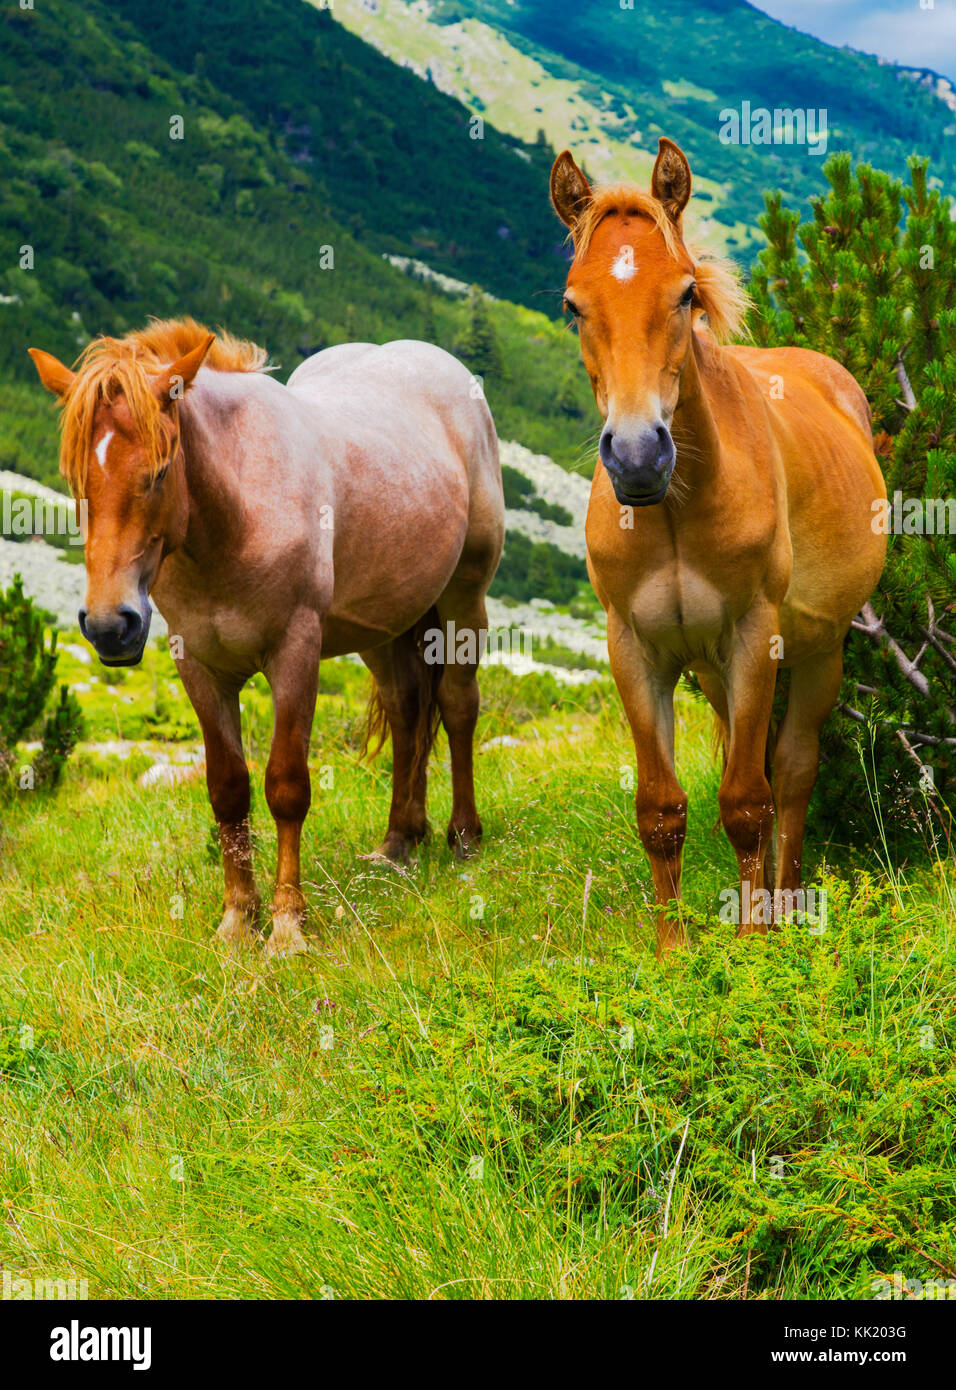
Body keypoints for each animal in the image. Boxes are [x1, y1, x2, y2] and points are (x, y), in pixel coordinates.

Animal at [29, 320, 504, 955]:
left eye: (159, 471)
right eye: (76, 479)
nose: (110, 625)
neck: (235, 518)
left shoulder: (295, 654)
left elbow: (286, 786)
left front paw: (286, 926)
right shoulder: (200, 668)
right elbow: (228, 788)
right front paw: (237, 919)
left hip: (462, 600)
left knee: (456, 707)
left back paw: (464, 837)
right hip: (383, 629)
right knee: (407, 712)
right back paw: (398, 843)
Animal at [550, 138, 887, 953]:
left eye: (684, 296)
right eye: (574, 305)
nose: (638, 456)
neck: (676, 513)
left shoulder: (751, 636)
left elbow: (746, 801)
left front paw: (754, 945)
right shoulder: (635, 649)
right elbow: (661, 809)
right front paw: (674, 952)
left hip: (816, 653)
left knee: (790, 775)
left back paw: (783, 907)